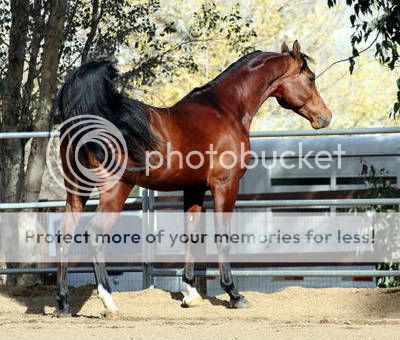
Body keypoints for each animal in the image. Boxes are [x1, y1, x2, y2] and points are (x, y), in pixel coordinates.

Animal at [55, 41, 332, 314]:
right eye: (310, 78)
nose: (326, 117)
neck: (225, 109)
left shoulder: (194, 188)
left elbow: (192, 235)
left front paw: (190, 294)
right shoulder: (225, 186)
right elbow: (222, 237)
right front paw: (234, 294)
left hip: (76, 191)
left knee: (65, 235)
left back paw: (63, 303)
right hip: (115, 190)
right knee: (95, 234)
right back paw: (108, 301)